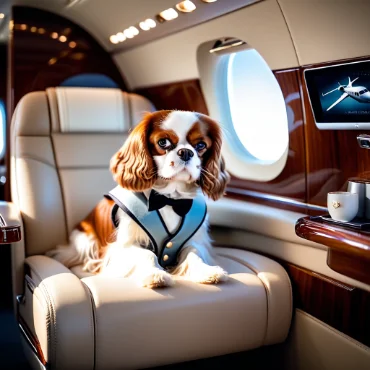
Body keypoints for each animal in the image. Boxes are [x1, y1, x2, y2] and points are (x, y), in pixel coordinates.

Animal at [47, 110, 230, 290]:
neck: (170, 199)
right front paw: (154, 275)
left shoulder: (193, 239)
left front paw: (206, 271)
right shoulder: (124, 244)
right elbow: (146, 253)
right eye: (163, 142)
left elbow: (193, 252)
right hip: (84, 241)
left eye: (201, 145)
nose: (185, 152)